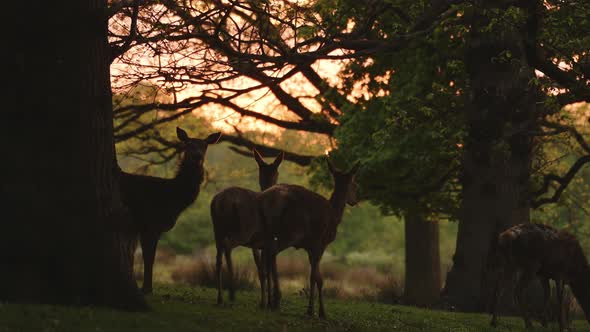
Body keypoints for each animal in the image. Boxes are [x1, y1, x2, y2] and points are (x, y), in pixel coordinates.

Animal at [121, 126, 223, 294]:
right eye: (188, 144)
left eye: (205, 145)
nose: (197, 156)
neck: (172, 198)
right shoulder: (149, 224)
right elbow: (149, 257)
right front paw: (146, 289)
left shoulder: (152, 228)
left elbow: (150, 257)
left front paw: (147, 288)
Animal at [212, 148, 286, 306]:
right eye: (277, 172)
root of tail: (221, 202)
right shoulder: (269, 240)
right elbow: (269, 268)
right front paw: (271, 301)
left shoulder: (257, 244)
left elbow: (262, 270)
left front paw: (266, 301)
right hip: (242, 230)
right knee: (228, 247)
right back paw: (232, 293)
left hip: (217, 229)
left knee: (218, 259)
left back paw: (220, 298)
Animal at [260, 158, 360, 320]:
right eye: (355, 184)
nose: (355, 200)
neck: (335, 216)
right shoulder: (320, 243)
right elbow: (317, 277)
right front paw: (318, 311)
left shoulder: (309, 247)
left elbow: (313, 276)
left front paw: (312, 309)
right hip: (291, 232)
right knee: (272, 252)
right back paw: (276, 299)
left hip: (269, 231)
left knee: (265, 253)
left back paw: (267, 302)